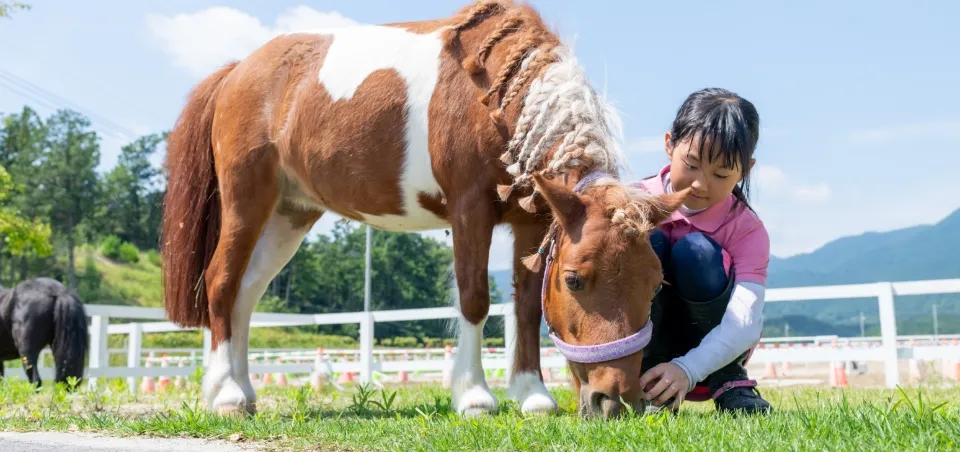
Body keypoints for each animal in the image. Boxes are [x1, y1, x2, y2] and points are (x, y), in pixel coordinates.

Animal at [161, 0, 688, 420]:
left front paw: (532, 395)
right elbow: (474, 299)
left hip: (291, 213)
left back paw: (244, 391)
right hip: (247, 199)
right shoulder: (470, 209)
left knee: (247, 292)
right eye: (575, 280)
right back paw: (226, 395)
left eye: (655, 284)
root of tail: (236, 71)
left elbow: (525, 305)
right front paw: (475, 397)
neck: (499, 98)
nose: (615, 400)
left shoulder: (534, 220)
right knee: (222, 283)